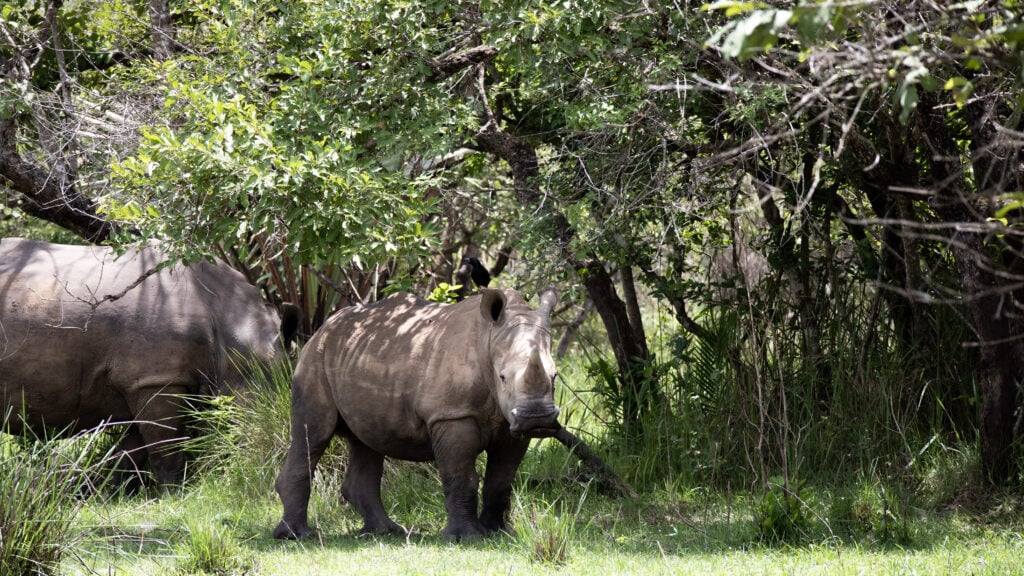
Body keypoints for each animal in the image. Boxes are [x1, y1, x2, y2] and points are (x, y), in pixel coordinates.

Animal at [0, 237, 299, 487]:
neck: (238, 331)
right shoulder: (155, 380)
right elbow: (165, 446)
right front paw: (174, 492)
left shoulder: (140, 382)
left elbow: (133, 449)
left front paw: (103, 491)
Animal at [274, 287, 561, 540]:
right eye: (502, 377)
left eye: (555, 376)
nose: (537, 419)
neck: (489, 339)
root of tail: (321, 329)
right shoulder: (451, 416)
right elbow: (461, 478)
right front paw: (467, 537)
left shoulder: (511, 427)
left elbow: (501, 481)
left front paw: (498, 532)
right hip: (315, 359)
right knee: (313, 433)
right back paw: (297, 536)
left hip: (356, 358)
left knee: (366, 442)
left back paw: (385, 531)